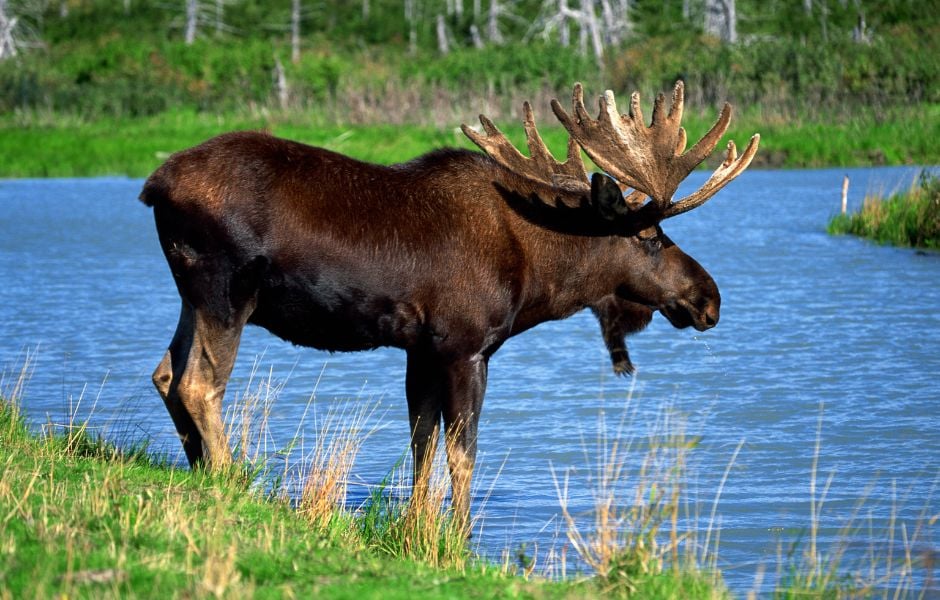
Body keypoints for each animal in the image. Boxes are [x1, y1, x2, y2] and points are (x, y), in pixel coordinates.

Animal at [139, 81, 759, 529]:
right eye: (650, 235)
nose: (709, 298)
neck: (539, 273)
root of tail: (153, 185)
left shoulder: (421, 349)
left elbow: (422, 444)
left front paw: (417, 529)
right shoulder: (466, 346)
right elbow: (463, 453)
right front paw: (459, 536)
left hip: (192, 295)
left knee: (166, 371)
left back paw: (201, 473)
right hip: (227, 289)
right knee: (199, 382)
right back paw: (229, 482)